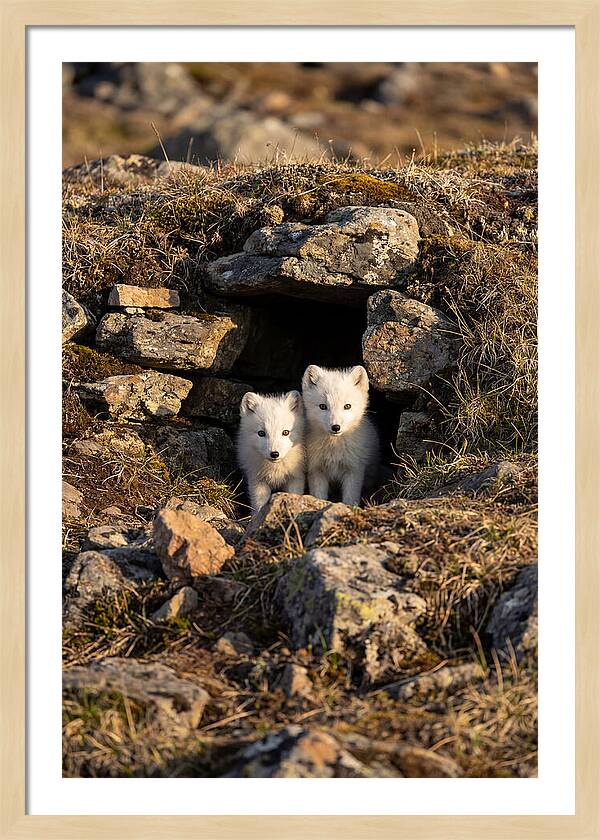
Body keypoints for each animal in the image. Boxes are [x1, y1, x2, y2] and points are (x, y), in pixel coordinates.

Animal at [301, 364, 380, 506]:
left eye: (347, 406)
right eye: (323, 406)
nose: (336, 427)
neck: (334, 449)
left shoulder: (354, 470)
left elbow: (350, 498)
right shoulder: (316, 470)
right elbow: (319, 496)